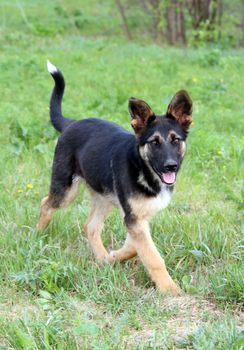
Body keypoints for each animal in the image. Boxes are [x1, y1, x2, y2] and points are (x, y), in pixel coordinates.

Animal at [36, 60, 193, 296]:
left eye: (176, 140)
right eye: (154, 142)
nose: (170, 166)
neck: (144, 169)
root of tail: (71, 123)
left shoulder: (138, 217)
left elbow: (134, 249)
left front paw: (112, 257)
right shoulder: (134, 219)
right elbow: (153, 257)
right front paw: (169, 289)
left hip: (104, 197)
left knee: (91, 226)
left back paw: (101, 258)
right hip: (67, 189)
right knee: (46, 203)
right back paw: (36, 236)